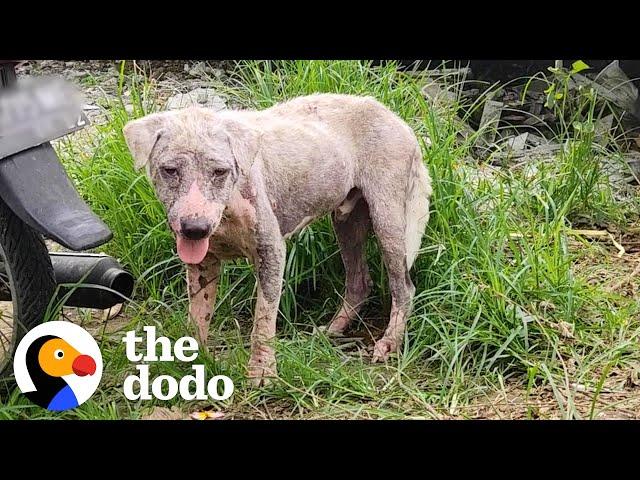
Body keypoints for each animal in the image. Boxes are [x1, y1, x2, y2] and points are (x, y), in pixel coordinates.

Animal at [121, 94, 430, 386]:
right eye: (170, 170)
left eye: (220, 171)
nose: (195, 228)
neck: (229, 208)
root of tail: (398, 121)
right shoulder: (202, 263)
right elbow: (198, 315)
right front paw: (191, 363)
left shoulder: (271, 252)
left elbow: (264, 318)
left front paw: (262, 371)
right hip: (347, 220)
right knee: (359, 282)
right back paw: (332, 329)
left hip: (388, 217)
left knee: (403, 287)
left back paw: (389, 342)